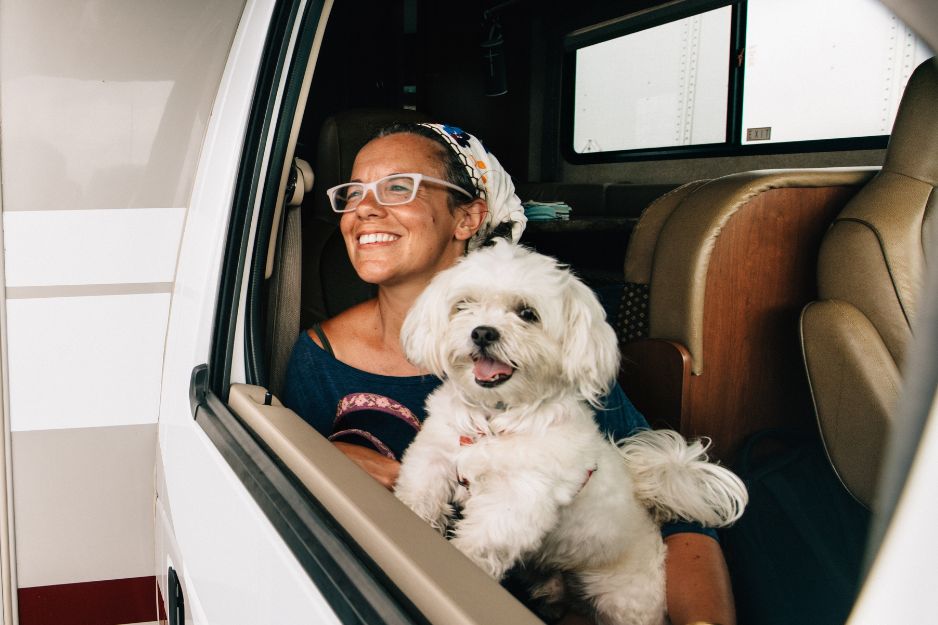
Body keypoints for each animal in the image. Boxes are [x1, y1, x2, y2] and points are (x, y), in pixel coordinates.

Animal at [394, 240, 744, 624]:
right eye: (464, 304)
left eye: (527, 313)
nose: (483, 332)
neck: (496, 419)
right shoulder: (435, 456)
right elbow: (418, 494)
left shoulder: (519, 498)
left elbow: (483, 542)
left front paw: (463, 565)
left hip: (623, 600)